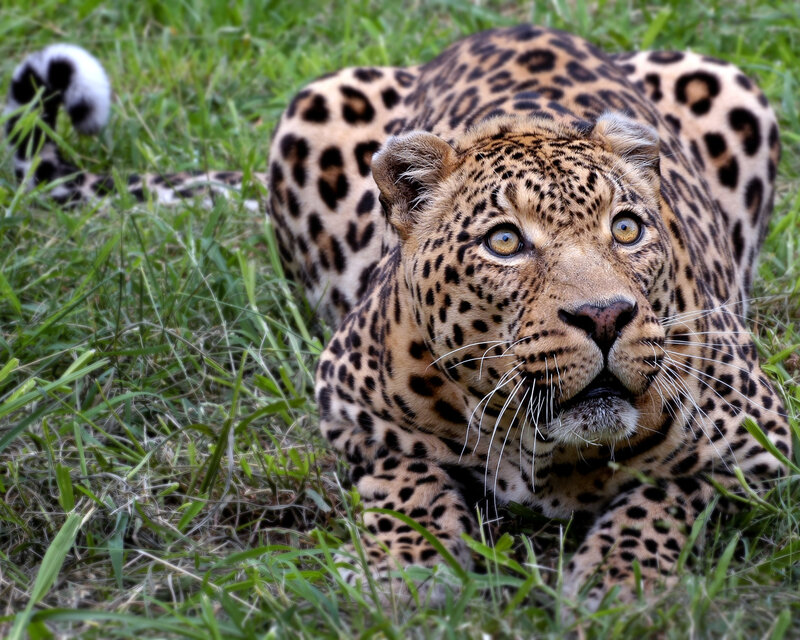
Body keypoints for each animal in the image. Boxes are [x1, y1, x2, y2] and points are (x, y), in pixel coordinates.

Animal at [5, 25, 792, 608]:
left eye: (626, 230)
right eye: (505, 242)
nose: (605, 316)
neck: (542, 450)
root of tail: (511, 24)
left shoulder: (762, 444)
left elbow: (665, 493)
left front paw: (617, 579)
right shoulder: (347, 402)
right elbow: (405, 474)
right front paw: (405, 572)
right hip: (316, 104)